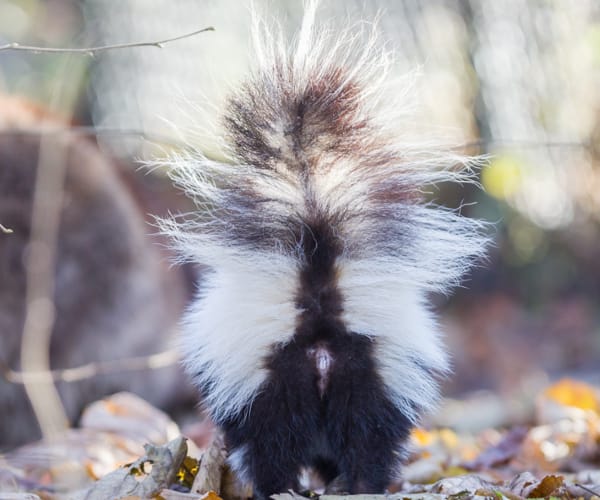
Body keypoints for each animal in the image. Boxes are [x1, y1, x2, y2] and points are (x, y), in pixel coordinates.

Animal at [159, 2, 488, 496]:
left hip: (271, 381)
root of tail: (318, 313)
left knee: (271, 444)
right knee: (368, 440)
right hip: (372, 375)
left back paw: (276, 486)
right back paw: (361, 484)